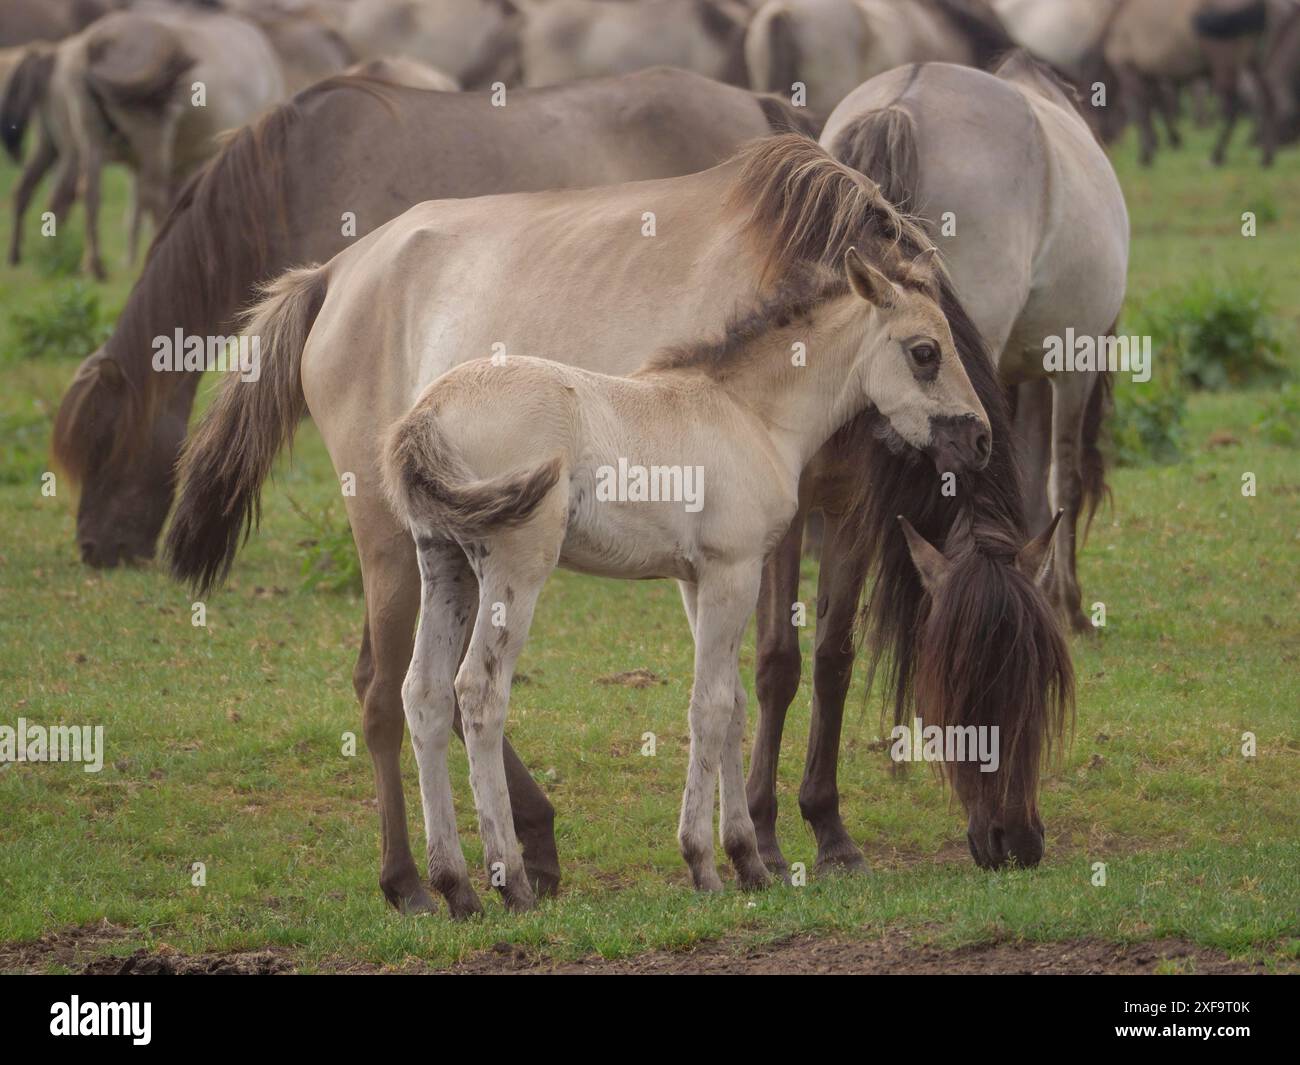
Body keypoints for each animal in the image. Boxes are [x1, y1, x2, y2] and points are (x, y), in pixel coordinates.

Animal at [163, 133, 1033, 913]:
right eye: (924, 352)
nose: (979, 439)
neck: (743, 408)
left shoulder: (702, 578)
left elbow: (730, 701)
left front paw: (738, 855)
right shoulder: (735, 567)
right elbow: (714, 704)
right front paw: (721, 862)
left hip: (443, 559)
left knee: (421, 692)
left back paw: (457, 883)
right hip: (503, 563)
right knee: (471, 692)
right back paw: (491, 880)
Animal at [736, 55, 1119, 879]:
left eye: (1036, 690)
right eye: (957, 690)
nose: (1017, 842)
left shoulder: (854, 509)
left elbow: (834, 655)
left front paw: (829, 826)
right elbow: (778, 659)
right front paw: (765, 831)